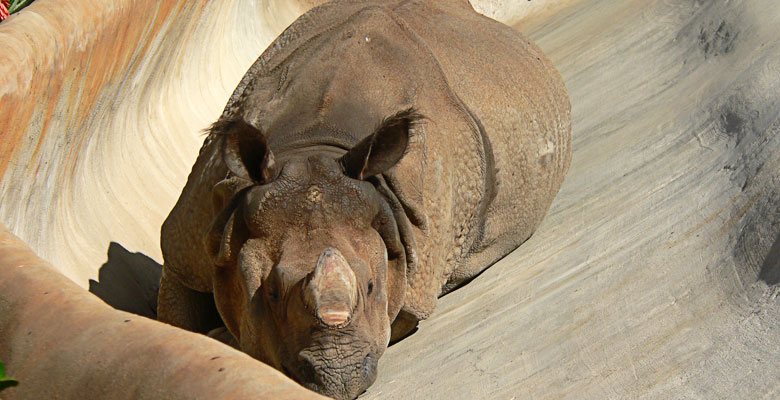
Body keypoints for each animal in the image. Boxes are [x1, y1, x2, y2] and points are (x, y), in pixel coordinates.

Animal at [157, 0, 571, 398]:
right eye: (271, 293)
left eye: (372, 286)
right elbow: (176, 321)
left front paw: (222, 337)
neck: (309, 146)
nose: (340, 380)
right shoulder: (193, 239)